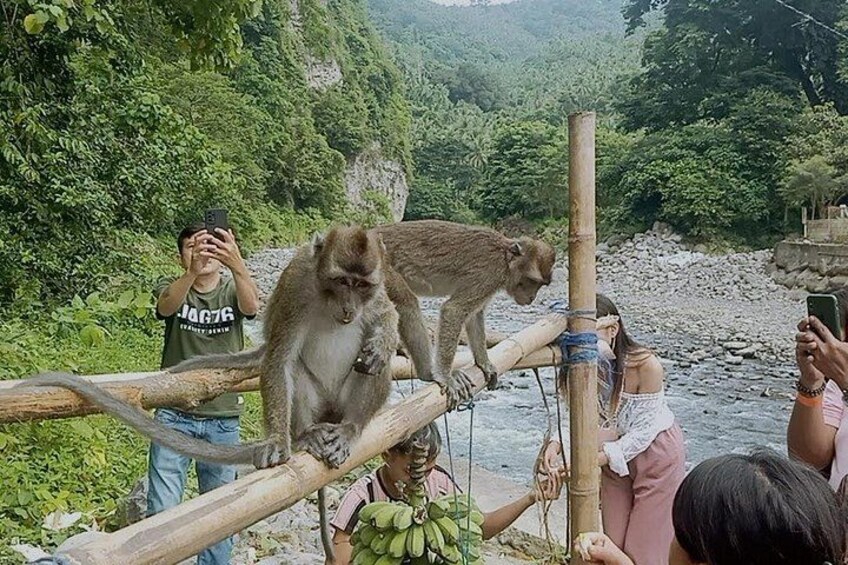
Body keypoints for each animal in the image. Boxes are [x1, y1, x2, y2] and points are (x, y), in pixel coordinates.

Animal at [16, 225, 399, 564]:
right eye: (341, 281)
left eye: (361, 285)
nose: (349, 308)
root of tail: (331, 416)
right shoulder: (297, 284)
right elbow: (280, 357)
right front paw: (278, 441)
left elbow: (385, 314)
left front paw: (382, 340)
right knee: (293, 370)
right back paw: (306, 434)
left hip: (342, 406)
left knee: (374, 366)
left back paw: (350, 428)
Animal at [371, 220, 555, 403]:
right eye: (531, 280)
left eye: (541, 284)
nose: (532, 297)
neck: (505, 258)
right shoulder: (490, 273)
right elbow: (454, 310)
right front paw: (445, 377)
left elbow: (475, 315)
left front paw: (484, 363)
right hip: (380, 266)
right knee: (406, 302)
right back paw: (428, 373)